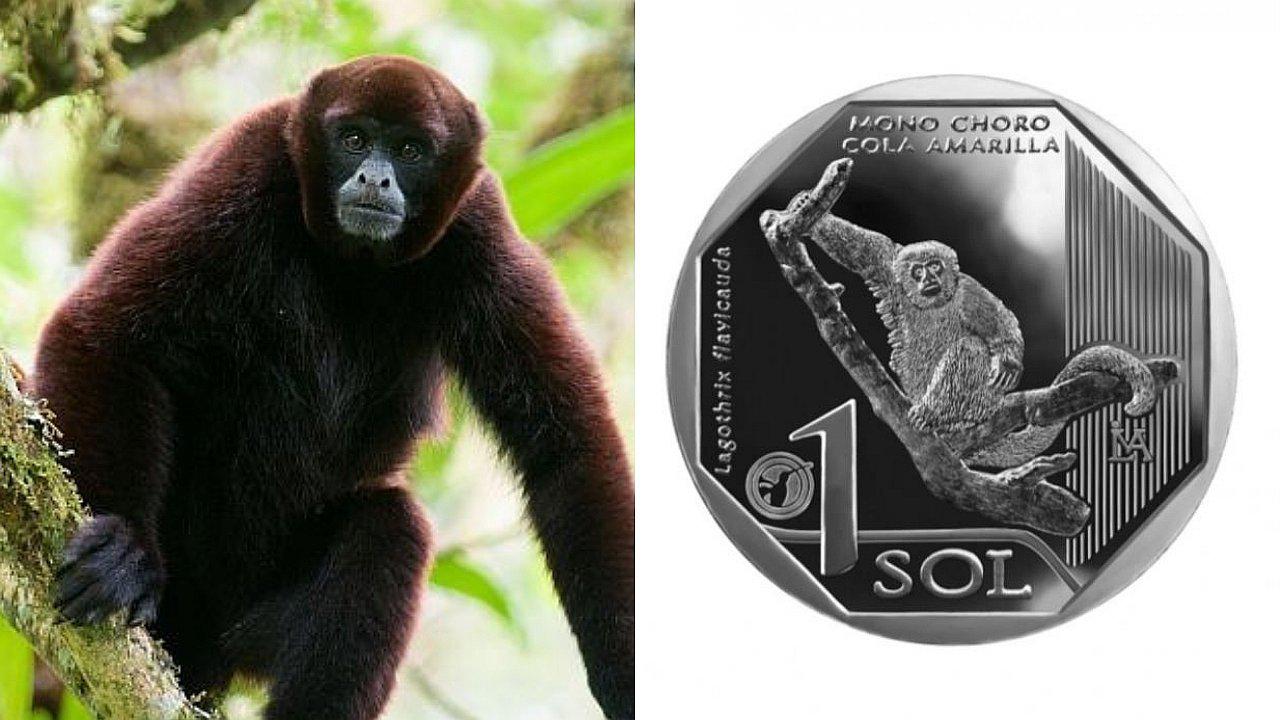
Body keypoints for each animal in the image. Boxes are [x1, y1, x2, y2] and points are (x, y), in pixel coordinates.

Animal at [33, 56, 633, 720]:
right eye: (353, 140)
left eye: (410, 149)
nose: (376, 178)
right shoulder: (244, 168)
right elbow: (104, 334)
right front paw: (124, 547)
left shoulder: (481, 232)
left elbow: (567, 448)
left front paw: (622, 673)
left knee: (389, 528)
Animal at [796, 194, 1156, 469]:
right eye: (917, 272)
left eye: (935, 267)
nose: (929, 280)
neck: (935, 304)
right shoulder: (889, 270)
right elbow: (857, 249)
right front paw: (804, 207)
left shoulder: (967, 291)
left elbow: (999, 322)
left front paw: (1008, 359)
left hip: (980, 402)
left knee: (969, 349)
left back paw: (934, 414)